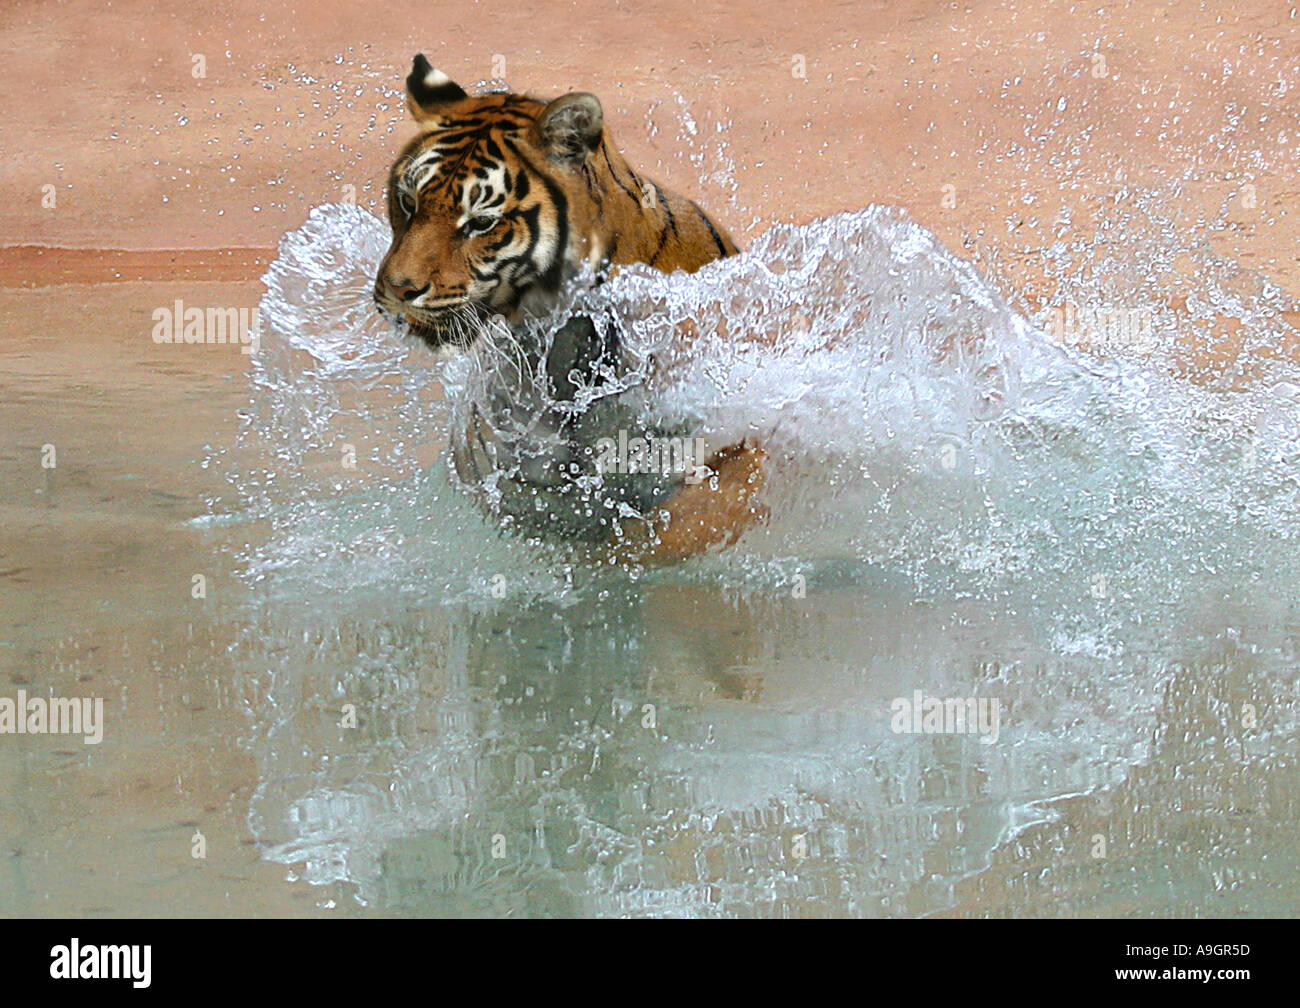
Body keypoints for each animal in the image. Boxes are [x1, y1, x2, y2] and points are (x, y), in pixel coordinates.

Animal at [373, 54, 766, 563]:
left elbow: (655, 537)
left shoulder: (726, 451)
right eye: (407, 201)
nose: (397, 289)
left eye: (481, 223)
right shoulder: (510, 478)